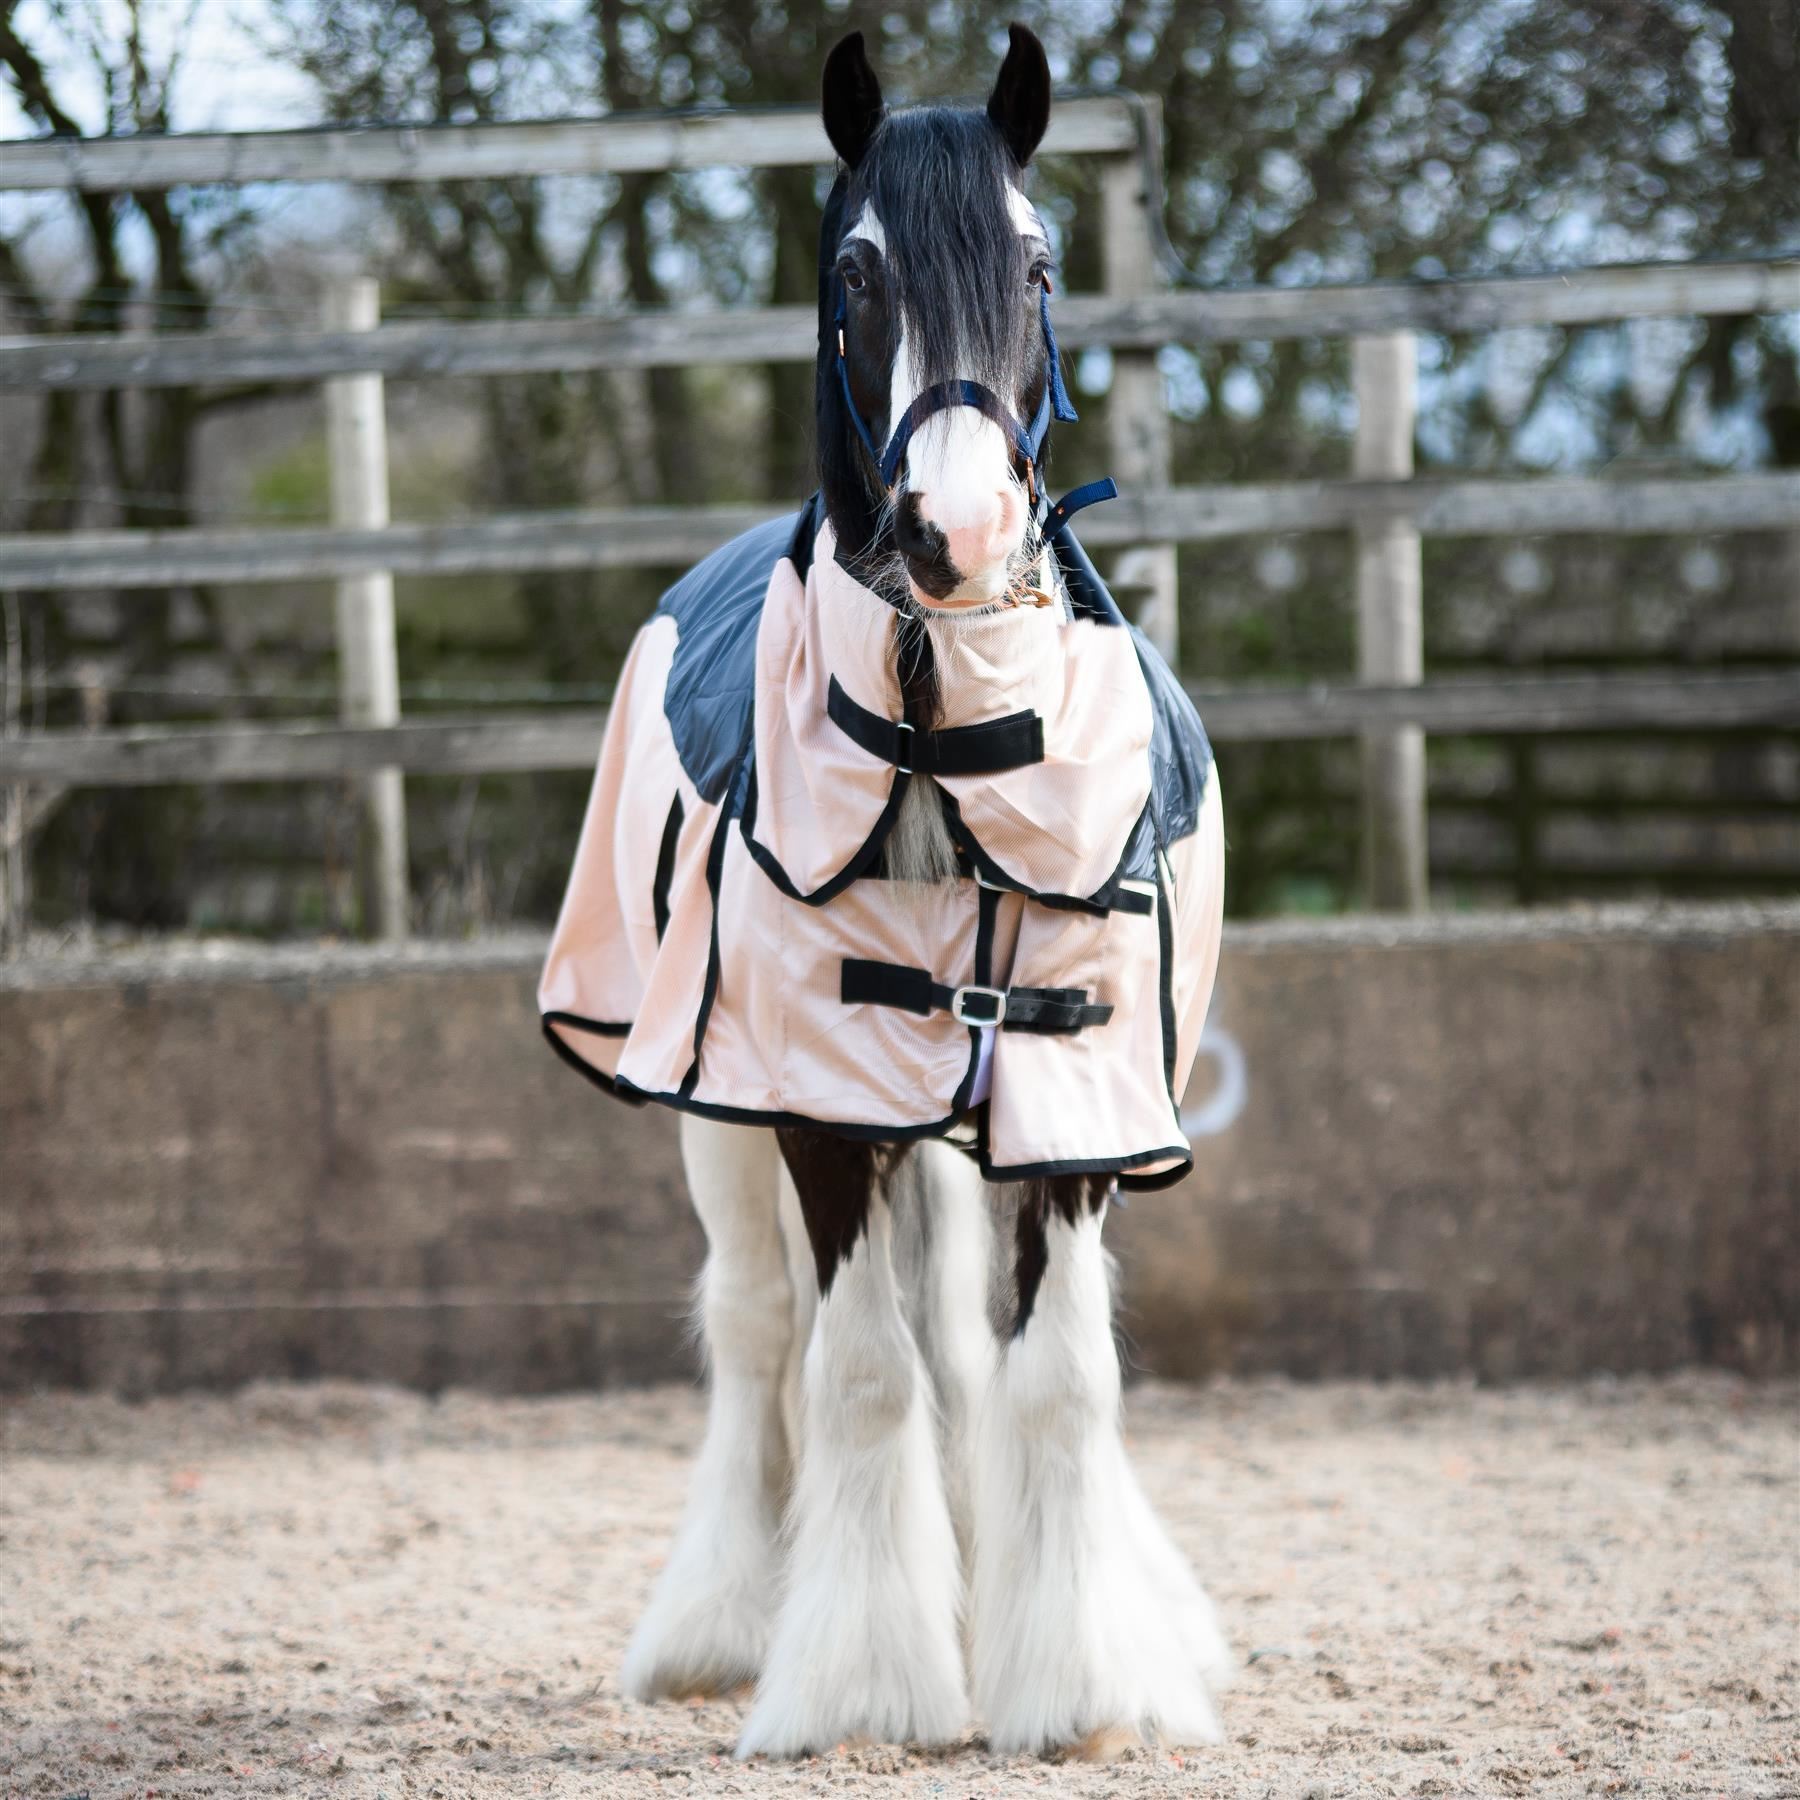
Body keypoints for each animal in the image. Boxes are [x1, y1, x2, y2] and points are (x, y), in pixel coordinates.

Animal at [539, 24, 1231, 1759]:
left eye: (1039, 260)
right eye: (856, 268)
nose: (958, 529)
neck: (938, 733)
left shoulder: (1075, 1098)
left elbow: (1058, 1376)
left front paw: (1080, 1684)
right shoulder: (814, 1104)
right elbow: (854, 1371)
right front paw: (861, 1684)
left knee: (966, 1356)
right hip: (711, 1114)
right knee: (755, 1328)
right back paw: (724, 1624)